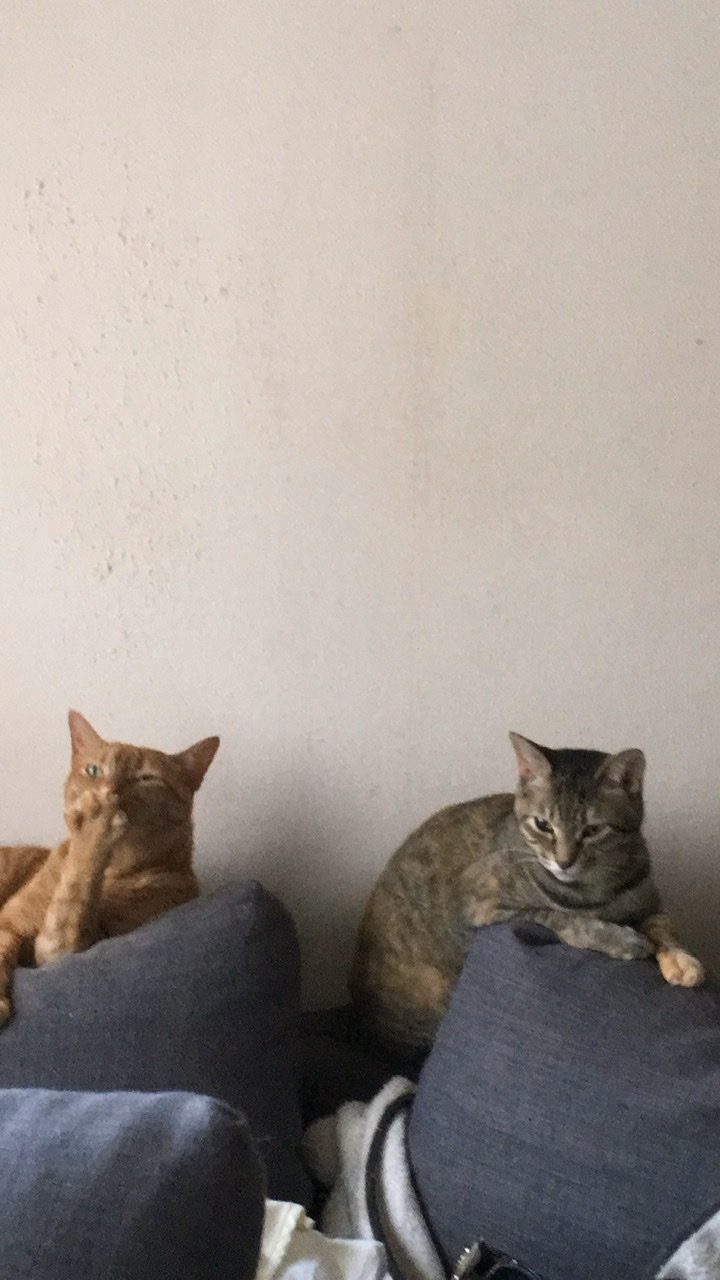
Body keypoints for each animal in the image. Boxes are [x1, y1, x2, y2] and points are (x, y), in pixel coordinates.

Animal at [0, 710, 219, 1026]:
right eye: (94, 771)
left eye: (146, 778)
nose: (108, 791)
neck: (111, 871)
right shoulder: (9, 924)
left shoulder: (65, 949)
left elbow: (73, 897)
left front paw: (97, 822)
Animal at [350, 732, 705, 1054]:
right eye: (543, 825)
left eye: (592, 830)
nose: (564, 861)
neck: (595, 887)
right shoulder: (482, 904)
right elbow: (562, 917)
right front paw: (620, 939)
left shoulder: (650, 901)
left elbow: (663, 927)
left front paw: (681, 959)